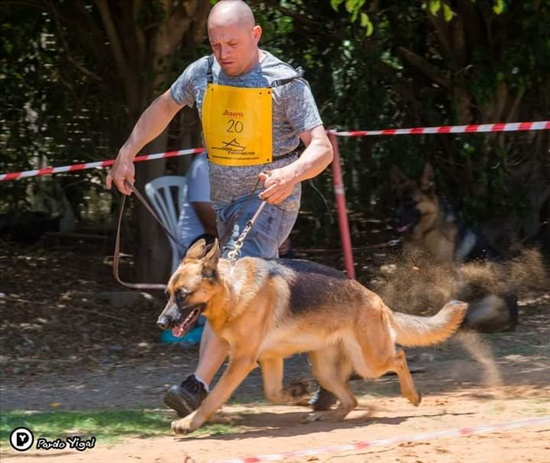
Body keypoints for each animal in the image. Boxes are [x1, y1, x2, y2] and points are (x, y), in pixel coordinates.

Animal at [157, 239, 468, 436]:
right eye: (168, 294)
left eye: (183, 294)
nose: (161, 322)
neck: (233, 291)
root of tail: (377, 301)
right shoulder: (269, 359)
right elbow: (272, 394)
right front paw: (298, 394)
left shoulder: (242, 360)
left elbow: (215, 397)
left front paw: (190, 423)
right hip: (325, 369)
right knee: (350, 400)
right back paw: (326, 414)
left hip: (370, 361)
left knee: (399, 357)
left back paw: (411, 394)